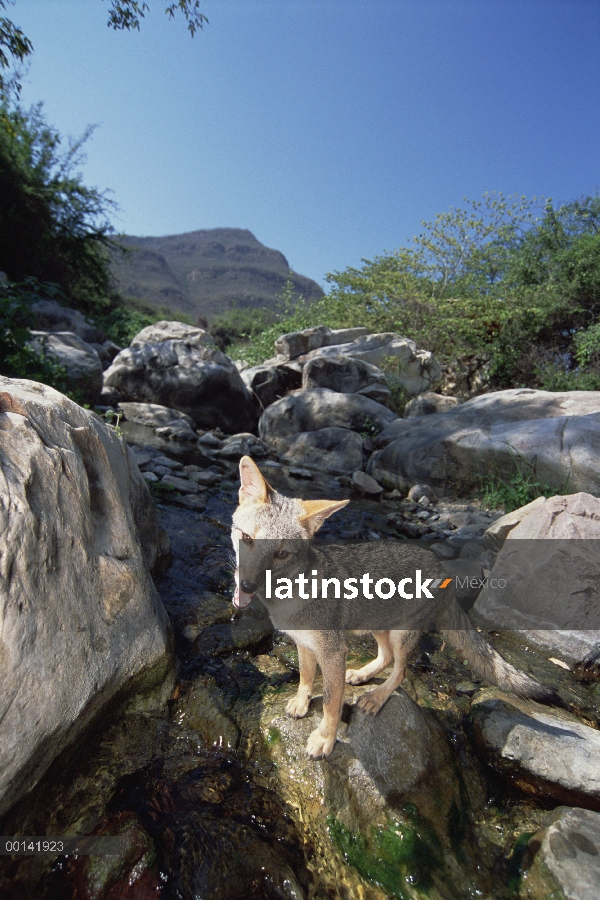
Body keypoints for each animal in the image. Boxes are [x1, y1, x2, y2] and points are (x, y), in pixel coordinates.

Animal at [232, 458, 560, 760]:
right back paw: (363, 675)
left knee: (400, 671)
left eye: (281, 554)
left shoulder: (333, 651)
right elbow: (305, 677)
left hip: (402, 635)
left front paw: (325, 738)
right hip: (377, 625)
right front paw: (301, 703)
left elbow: (330, 702)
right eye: (246, 538)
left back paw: (377, 696)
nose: (247, 586)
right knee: (386, 657)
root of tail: (443, 569)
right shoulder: (304, 644)